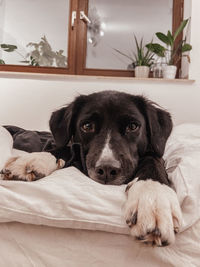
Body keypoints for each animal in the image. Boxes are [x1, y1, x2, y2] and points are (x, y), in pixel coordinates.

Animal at [0, 91, 181, 247]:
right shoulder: (74, 148)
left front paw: (153, 197)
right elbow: (66, 147)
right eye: (87, 126)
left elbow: (153, 158)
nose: (107, 169)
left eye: (132, 126)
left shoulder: (155, 154)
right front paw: (35, 158)